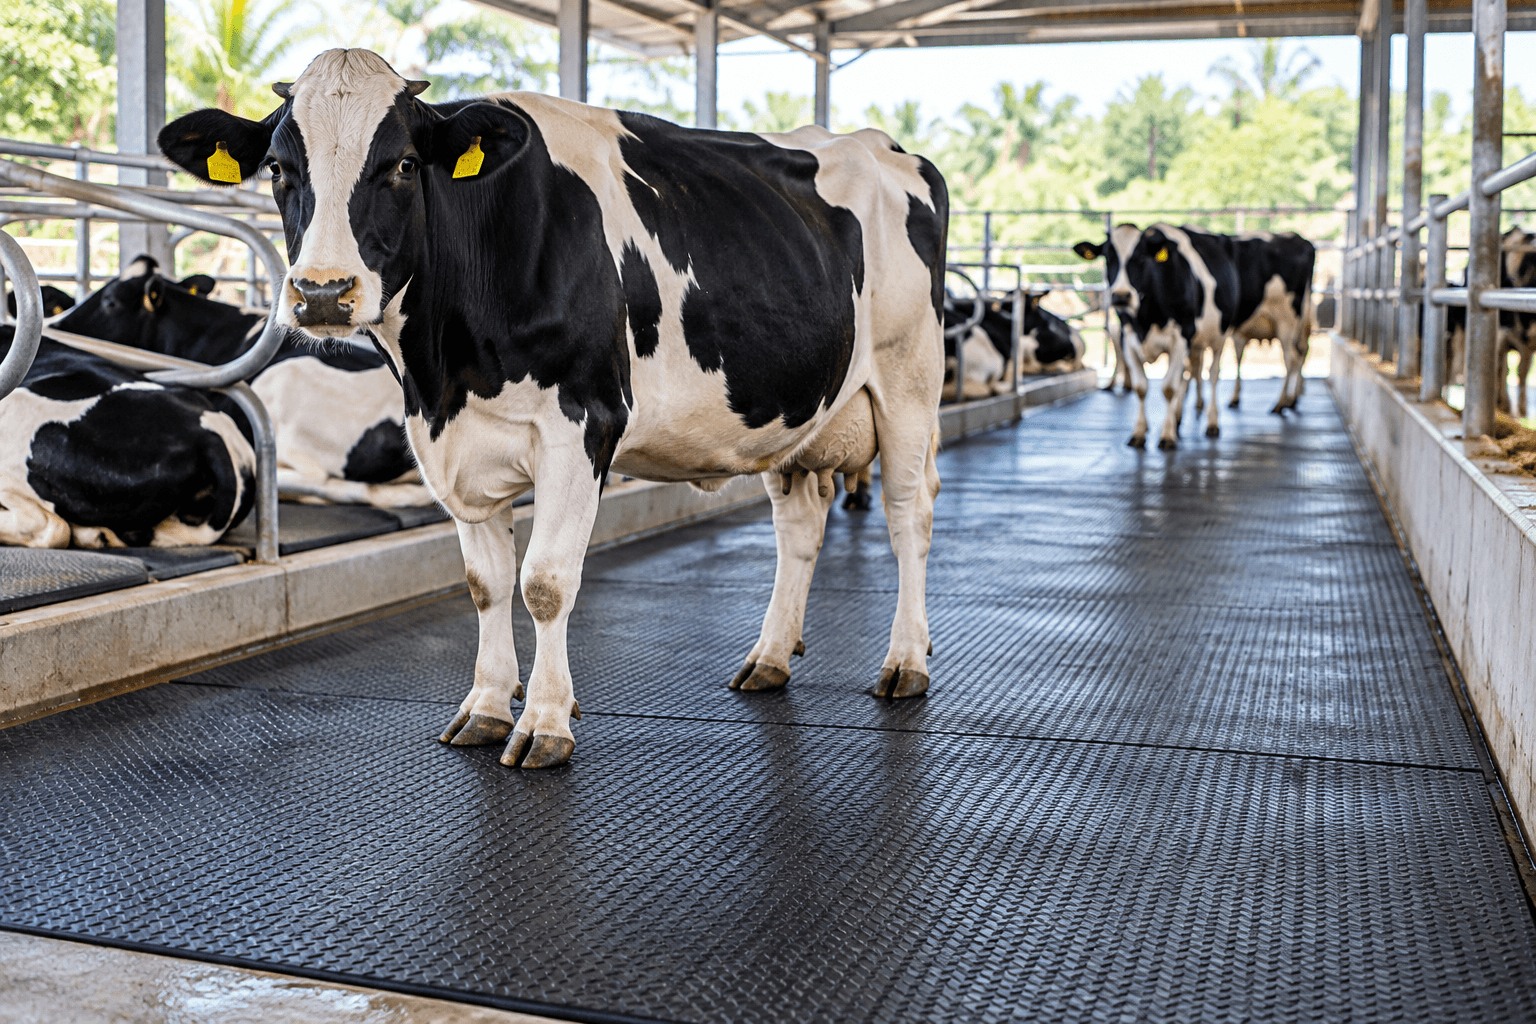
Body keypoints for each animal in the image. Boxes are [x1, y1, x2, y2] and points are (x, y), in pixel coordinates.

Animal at [158, 48, 947, 768]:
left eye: (405, 165)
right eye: (278, 170)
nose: (322, 292)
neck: (445, 370)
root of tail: (883, 145)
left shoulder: (584, 426)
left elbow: (543, 582)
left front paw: (543, 722)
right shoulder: (452, 441)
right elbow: (484, 584)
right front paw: (484, 707)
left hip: (909, 385)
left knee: (909, 514)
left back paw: (906, 661)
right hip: (797, 413)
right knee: (799, 527)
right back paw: (771, 657)